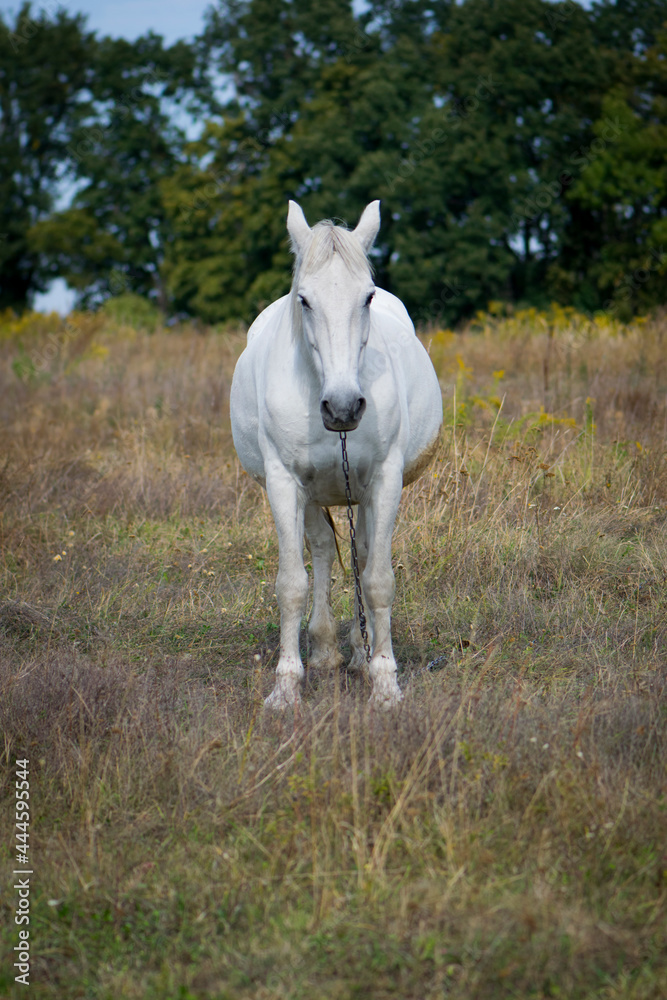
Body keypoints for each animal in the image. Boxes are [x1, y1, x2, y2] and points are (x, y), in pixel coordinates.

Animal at [230, 200, 443, 708]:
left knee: (361, 553)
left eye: (367, 297)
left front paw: (384, 681)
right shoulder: (284, 482)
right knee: (324, 550)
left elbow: (378, 579)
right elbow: (292, 584)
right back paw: (325, 650)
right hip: (310, 495)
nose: (343, 407)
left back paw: (360, 655)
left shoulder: (384, 480)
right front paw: (286, 687)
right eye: (304, 300)